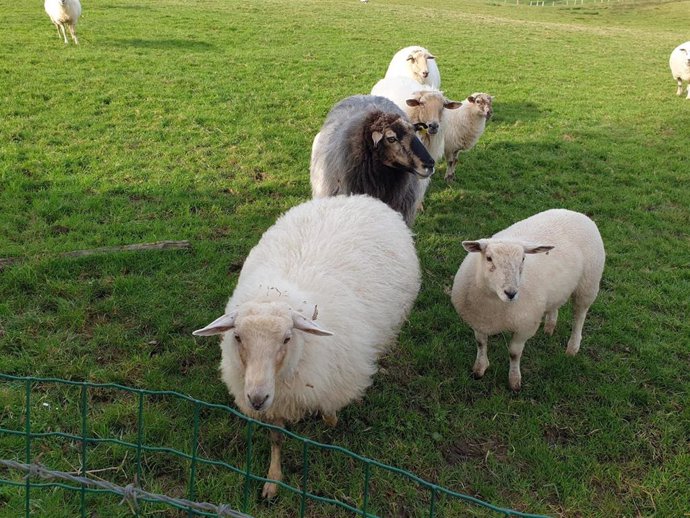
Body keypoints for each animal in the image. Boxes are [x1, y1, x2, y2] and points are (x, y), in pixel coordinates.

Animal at [192, 195, 420, 500]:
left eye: (287, 338)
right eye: (237, 337)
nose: (256, 398)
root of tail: (358, 197)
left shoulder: (332, 382)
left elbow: (330, 415)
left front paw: (330, 423)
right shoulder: (275, 404)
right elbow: (277, 440)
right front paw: (273, 480)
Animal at [446, 209, 600, 392]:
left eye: (523, 259)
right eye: (489, 258)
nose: (511, 293)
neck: (493, 302)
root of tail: (574, 212)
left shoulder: (524, 327)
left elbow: (514, 353)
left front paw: (514, 381)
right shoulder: (478, 320)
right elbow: (481, 343)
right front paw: (479, 369)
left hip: (588, 284)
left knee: (579, 316)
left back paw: (572, 348)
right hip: (558, 289)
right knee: (554, 305)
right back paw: (549, 327)